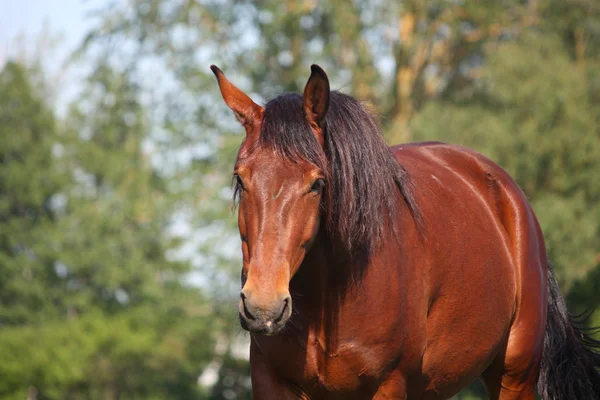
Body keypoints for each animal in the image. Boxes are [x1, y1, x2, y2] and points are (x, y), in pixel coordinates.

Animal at [211, 64, 600, 398]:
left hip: (514, 376)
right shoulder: (271, 381)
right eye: (240, 179)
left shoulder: (389, 384)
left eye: (317, 183)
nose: (263, 307)